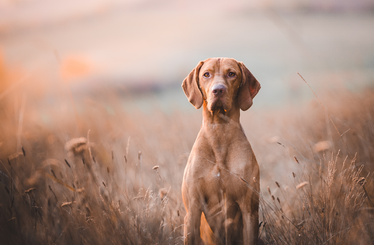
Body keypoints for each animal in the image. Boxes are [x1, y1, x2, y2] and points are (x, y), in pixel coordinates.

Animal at [181, 58, 260, 245]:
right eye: (206, 74)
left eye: (231, 73)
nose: (218, 90)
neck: (219, 131)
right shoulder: (192, 210)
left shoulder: (249, 211)